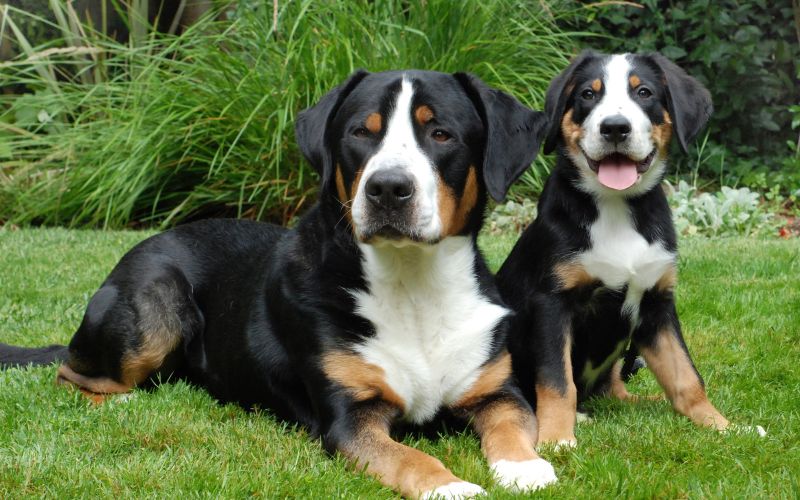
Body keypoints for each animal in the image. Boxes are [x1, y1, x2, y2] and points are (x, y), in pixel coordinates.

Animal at [3, 69, 556, 496]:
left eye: (441, 134)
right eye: (361, 133)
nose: (388, 188)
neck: (413, 286)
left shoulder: (497, 389)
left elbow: (513, 424)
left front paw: (526, 468)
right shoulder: (349, 418)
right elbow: (409, 458)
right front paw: (453, 486)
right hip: (156, 304)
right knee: (71, 374)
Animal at [496, 51, 764, 450]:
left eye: (644, 92)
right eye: (588, 94)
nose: (615, 128)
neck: (616, 207)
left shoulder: (657, 304)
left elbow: (687, 376)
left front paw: (723, 426)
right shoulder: (552, 302)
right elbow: (558, 381)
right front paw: (557, 438)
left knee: (617, 390)